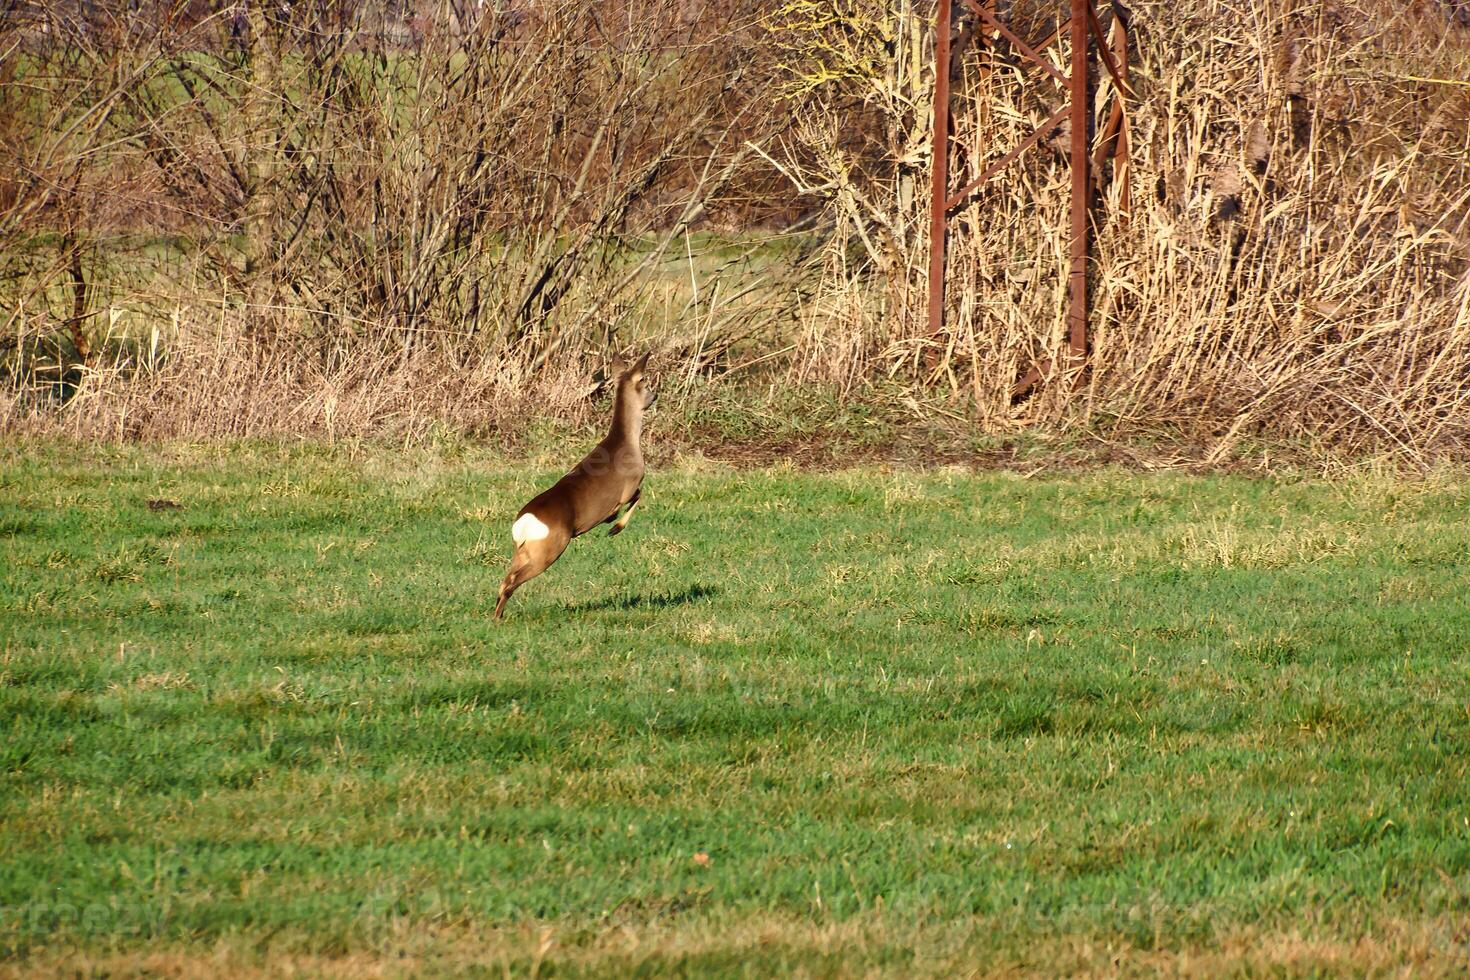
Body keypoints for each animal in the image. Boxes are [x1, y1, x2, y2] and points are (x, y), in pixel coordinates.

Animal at [493, 352, 655, 620]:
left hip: (523, 550)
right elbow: (638, 497)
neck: (626, 442)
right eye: (644, 380)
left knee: (505, 578)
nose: (655, 396)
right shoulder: (630, 486)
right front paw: (613, 527)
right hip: (549, 549)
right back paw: (497, 619)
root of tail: (523, 525)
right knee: (510, 582)